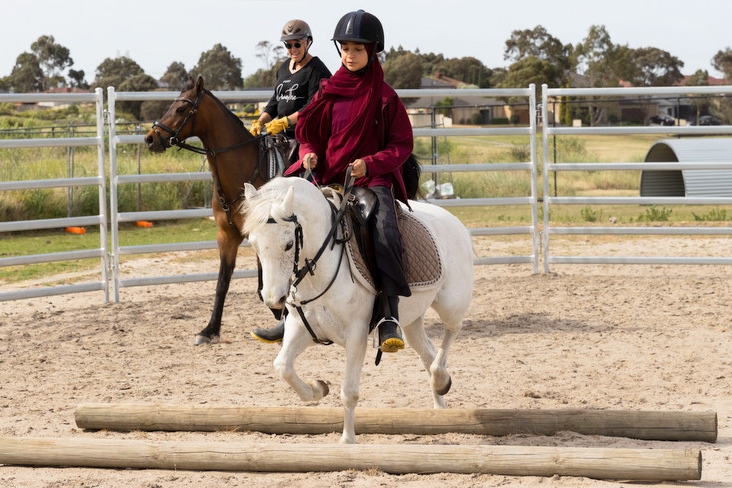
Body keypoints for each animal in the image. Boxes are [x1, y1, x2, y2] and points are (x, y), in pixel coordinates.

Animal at [240, 177, 474, 444]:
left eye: (289, 244)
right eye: (253, 242)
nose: (274, 299)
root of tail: (453, 221)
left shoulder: (356, 335)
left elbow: (349, 392)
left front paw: (348, 441)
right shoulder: (301, 328)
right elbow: (283, 367)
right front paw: (317, 388)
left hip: (451, 303)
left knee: (451, 331)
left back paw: (441, 378)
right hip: (412, 320)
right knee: (428, 351)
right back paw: (439, 406)